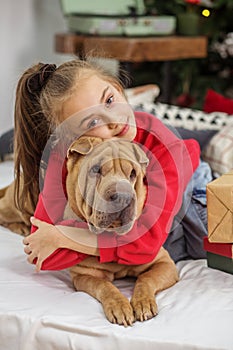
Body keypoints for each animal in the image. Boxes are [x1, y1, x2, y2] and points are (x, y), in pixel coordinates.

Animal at [63, 136, 178, 326]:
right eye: (95, 170)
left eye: (132, 173)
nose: (123, 196)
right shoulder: (83, 275)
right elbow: (105, 286)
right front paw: (120, 306)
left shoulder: (165, 263)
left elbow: (146, 278)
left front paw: (143, 302)